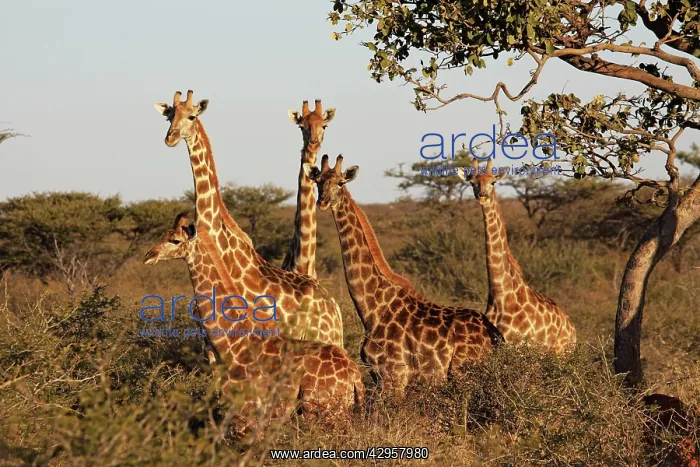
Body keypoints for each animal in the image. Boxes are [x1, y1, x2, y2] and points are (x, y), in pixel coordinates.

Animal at [143, 212, 364, 438]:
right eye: (164, 235)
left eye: (175, 240)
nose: (149, 256)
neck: (232, 340)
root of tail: (355, 375)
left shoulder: (245, 415)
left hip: (322, 410)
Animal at [304, 155, 503, 395]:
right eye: (318, 182)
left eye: (340, 183)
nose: (322, 202)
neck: (372, 308)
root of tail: (495, 336)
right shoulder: (379, 376)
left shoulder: (393, 375)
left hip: (463, 372)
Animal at [457, 157, 576, 352]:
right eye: (472, 183)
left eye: (493, 182)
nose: (482, 195)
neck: (500, 295)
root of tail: (572, 327)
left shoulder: (520, 347)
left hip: (562, 352)